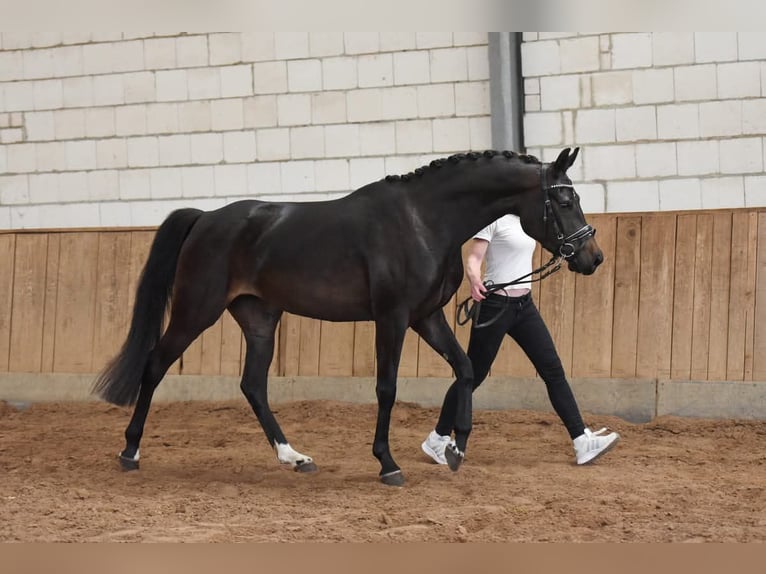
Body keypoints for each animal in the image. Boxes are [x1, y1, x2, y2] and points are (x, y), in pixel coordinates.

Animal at [93, 147, 602, 486]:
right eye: (563, 201)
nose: (592, 257)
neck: (423, 221)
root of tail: (205, 219)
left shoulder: (427, 317)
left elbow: (465, 368)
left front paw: (455, 447)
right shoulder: (392, 318)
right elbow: (387, 388)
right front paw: (388, 464)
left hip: (259, 320)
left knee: (253, 386)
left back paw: (295, 458)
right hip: (196, 311)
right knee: (155, 366)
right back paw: (129, 451)